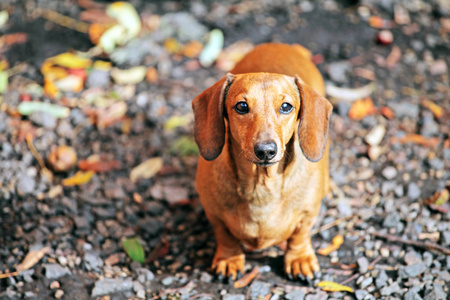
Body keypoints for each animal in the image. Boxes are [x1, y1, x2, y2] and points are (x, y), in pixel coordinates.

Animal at [192, 42, 332, 282]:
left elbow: (300, 235)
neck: (261, 186)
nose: (266, 151)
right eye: (241, 106)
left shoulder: (308, 213)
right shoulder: (215, 215)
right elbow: (225, 236)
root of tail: (279, 44)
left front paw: (300, 259)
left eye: (286, 106)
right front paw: (229, 259)